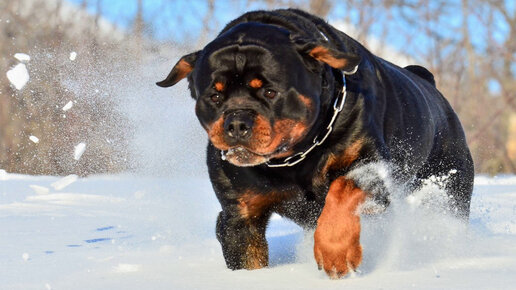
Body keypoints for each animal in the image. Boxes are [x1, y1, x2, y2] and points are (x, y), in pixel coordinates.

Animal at [155, 8, 474, 278]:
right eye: (215, 96)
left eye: (270, 91)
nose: (236, 123)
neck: (294, 158)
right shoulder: (240, 217)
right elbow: (247, 257)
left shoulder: (372, 165)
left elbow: (343, 188)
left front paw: (335, 252)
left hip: (451, 185)